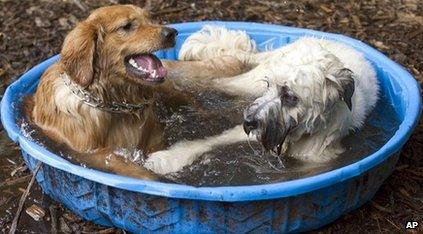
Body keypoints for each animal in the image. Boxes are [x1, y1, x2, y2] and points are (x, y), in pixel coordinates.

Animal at [144, 26, 380, 175]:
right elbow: (210, 141)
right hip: (249, 81)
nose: (249, 122)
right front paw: (171, 158)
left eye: (290, 96)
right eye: (269, 85)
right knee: (216, 81)